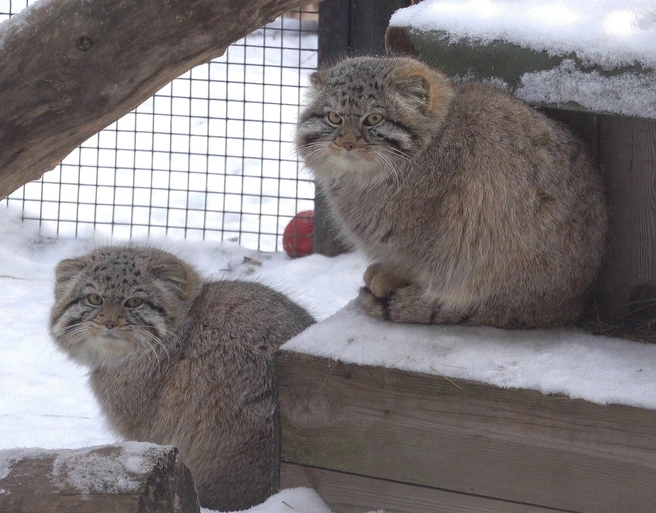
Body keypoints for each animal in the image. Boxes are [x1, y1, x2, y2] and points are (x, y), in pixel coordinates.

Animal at [294, 57, 608, 328]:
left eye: (374, 119)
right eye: (334, 118)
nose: (346, 143)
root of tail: (571, 301)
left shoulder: (425, 232)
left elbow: (414, 262)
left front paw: (390, 275)